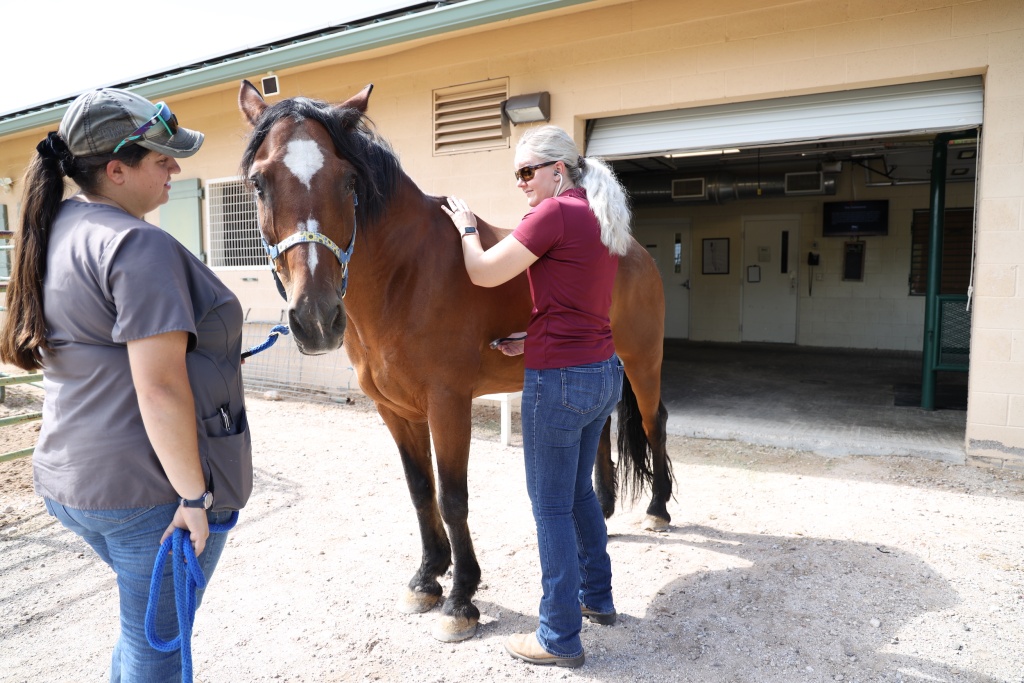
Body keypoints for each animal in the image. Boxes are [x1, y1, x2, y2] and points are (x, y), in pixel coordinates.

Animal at [237, 80, 675, 643]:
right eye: (259, 182)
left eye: (348, 180)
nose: (315, 317)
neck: (406, 275)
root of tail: (632, 249)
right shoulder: (396, 411)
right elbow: (420, 489)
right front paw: (427, 577)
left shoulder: (448, 404)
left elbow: (452, 496)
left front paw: (461, 598)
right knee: (597, 434)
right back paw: (600, 514)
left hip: (642, 360)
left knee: (654, 421)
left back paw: (658, 510)